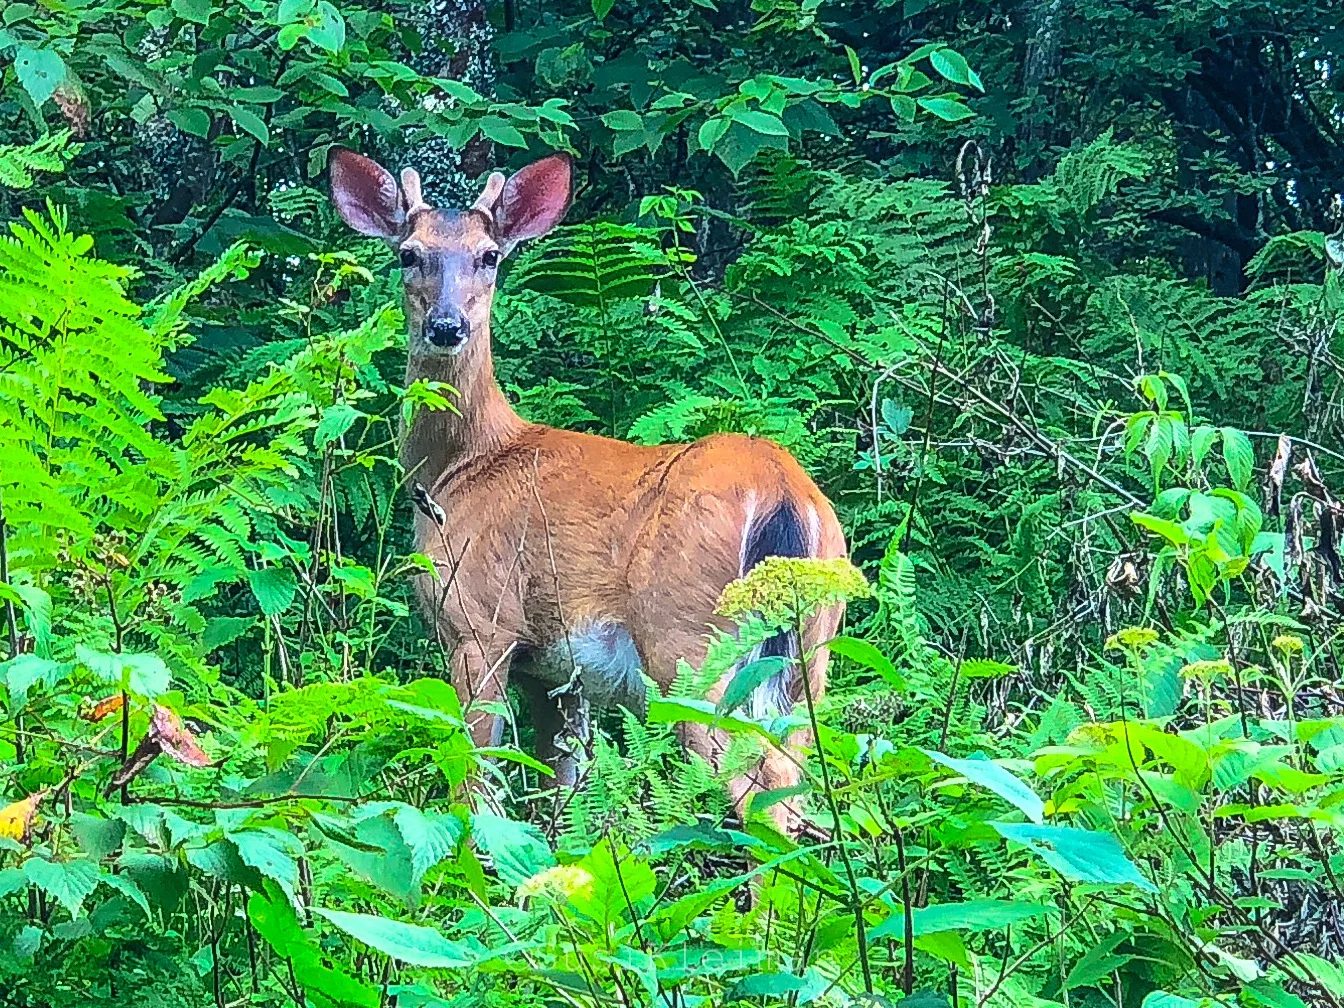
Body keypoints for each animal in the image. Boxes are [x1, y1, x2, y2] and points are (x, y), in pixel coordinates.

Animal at [328, 147, 847, 832]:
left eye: (489, 256)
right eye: (409, 253)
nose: (446, 325)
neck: (460, 468)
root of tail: (783, 487)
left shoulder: (481, 623)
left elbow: (476, 783)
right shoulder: (561, 672)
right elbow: (561, 797)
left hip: (688, 645)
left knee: (756, 792)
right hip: (811, 652)